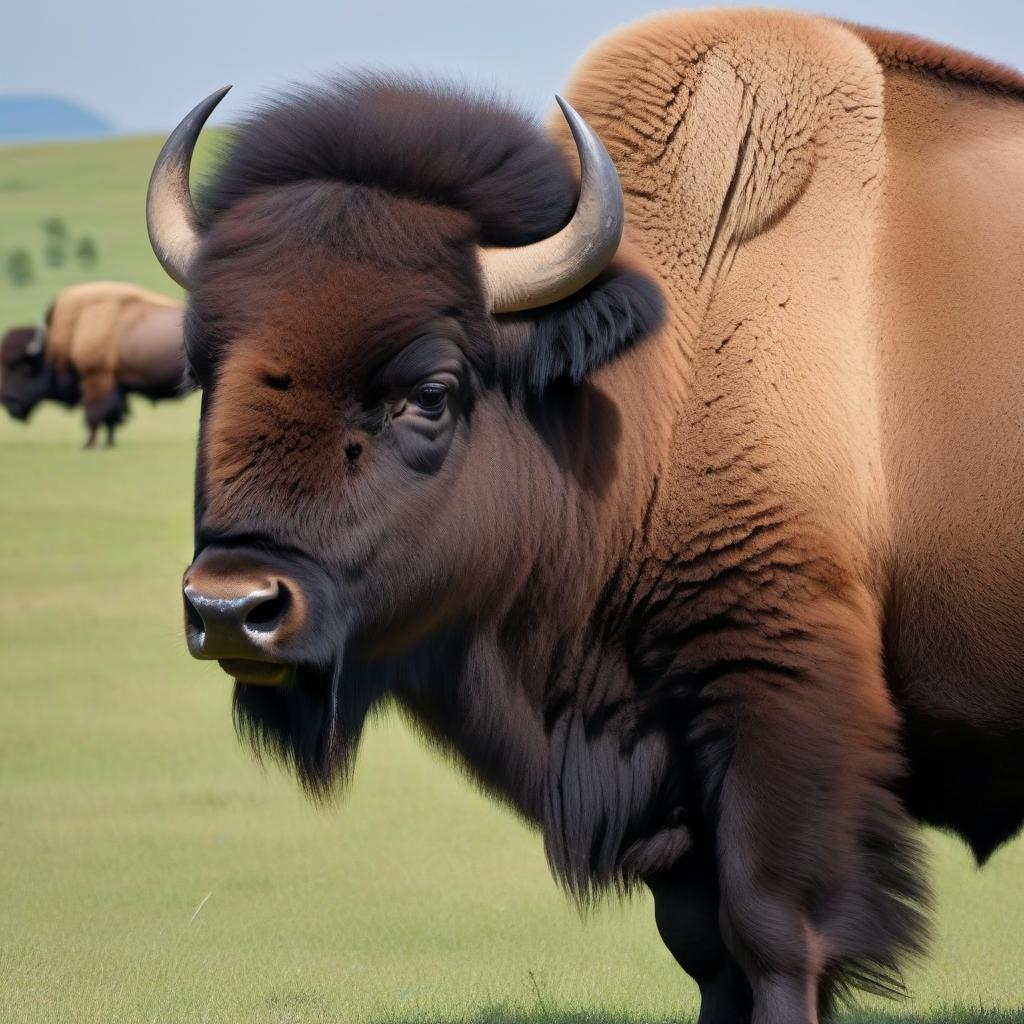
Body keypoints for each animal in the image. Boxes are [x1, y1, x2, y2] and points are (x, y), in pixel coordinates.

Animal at [2, 280, 185, 444]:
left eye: (22, 366)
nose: (8, 400)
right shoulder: (116, 387)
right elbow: (111, 418)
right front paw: (108, 443)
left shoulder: (96, 377)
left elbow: (94, 414)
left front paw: (88, 444)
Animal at [146, 9, 1024, 1024]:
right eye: (203, 368)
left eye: (431, 392)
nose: (230, 608)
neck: (662, 374)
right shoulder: (669, 778)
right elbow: (704, 945)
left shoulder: (780, 693)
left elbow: (774, 928)